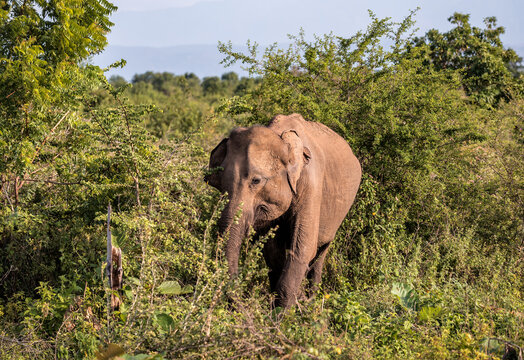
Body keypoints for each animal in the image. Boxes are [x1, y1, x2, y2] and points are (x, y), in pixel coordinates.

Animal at [205, 114, 360, 308]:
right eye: (219, 181)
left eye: (256, 180)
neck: (281, 137)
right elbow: (272, 251)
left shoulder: (311, 185)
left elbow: (302, 248)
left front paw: (283, 314)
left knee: (321, 252)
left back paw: (311, 302)